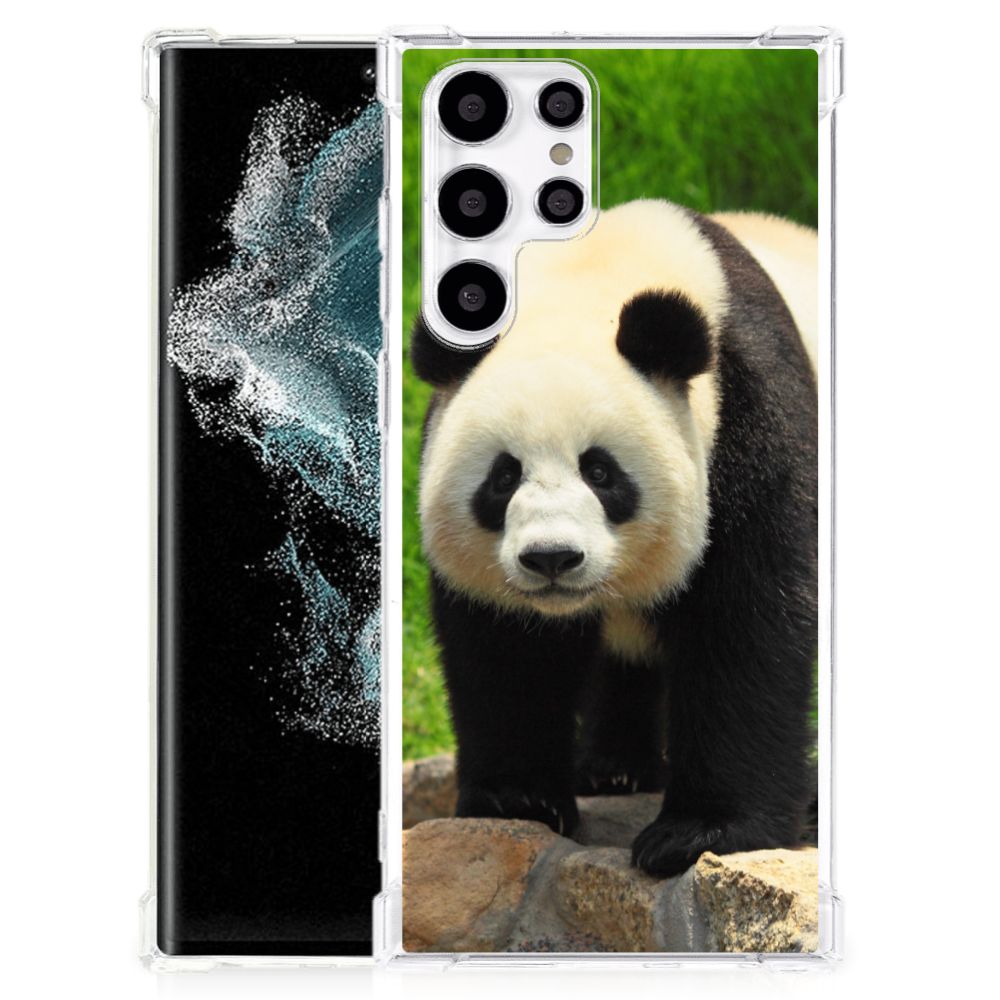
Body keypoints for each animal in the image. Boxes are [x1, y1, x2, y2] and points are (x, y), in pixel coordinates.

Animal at [411, 199, 818, 877]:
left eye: (600, 472)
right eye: (503, 476)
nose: (552, 558)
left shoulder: (751, 418)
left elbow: (748, 623)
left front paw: (699, 832)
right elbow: (507, 649)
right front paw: (518, 799)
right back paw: (613, 769)